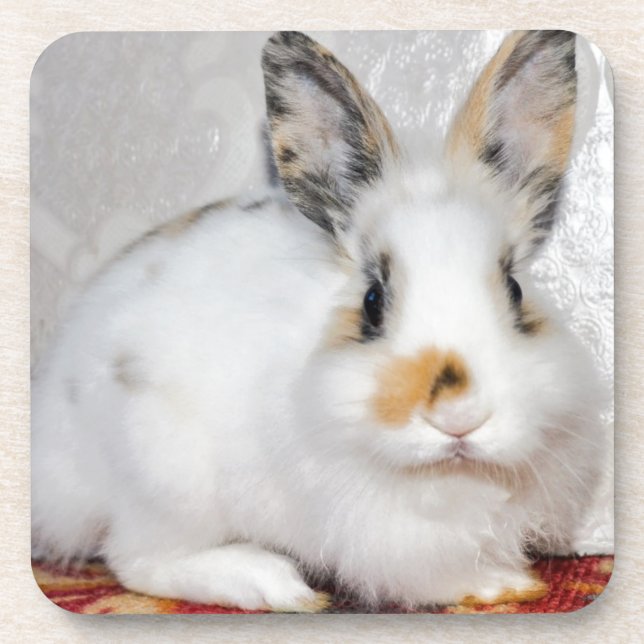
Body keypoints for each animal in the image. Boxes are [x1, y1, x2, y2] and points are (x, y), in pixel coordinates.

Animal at [31, 30, 606, 611]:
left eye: (515, 290)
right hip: (166, 478)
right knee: (136, 561)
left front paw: (505, 579)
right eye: (373, 301)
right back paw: (270, 584)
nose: (459, 416)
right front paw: (492, 584)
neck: (447, 474)